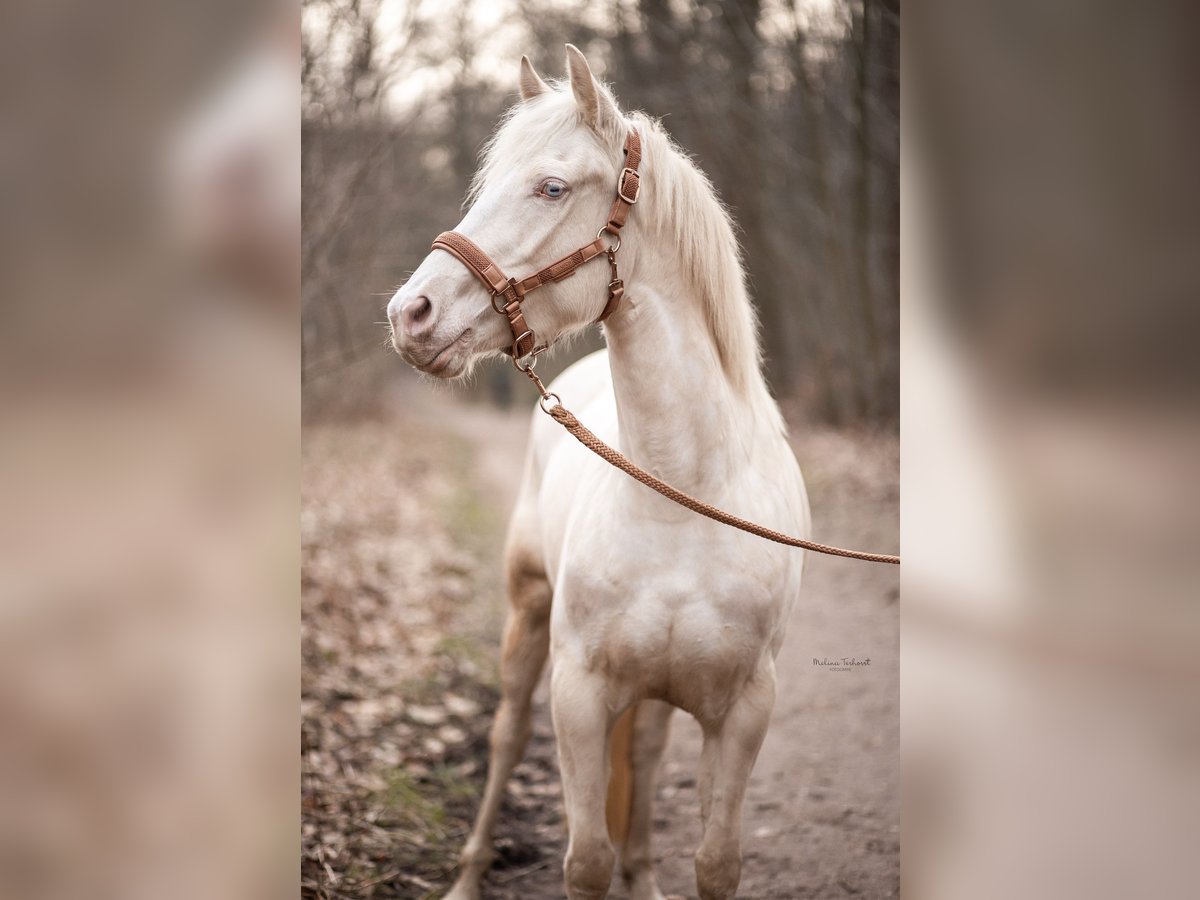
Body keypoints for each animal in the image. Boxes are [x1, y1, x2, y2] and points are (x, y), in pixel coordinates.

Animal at [388, 49, 811, 900]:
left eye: (552, 188)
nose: (409, 314)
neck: (684, 499)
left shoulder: (744, 710)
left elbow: (716, 862)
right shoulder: (578, 696)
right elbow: (585, 859)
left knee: (643, 761)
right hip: (526, 621)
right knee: (505, 737)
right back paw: (468, 875)